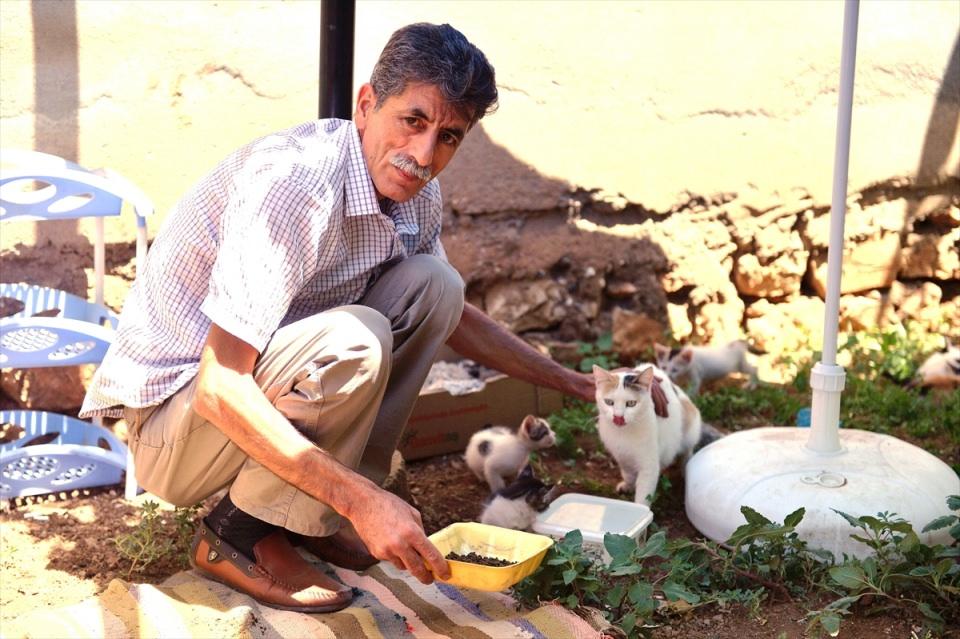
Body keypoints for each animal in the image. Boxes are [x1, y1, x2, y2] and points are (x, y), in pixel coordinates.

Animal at [588, 364, 700, 504]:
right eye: (609, 402)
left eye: (631, 403)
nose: (618, 417)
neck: (623, 434)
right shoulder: (622, 457)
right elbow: (628, 474)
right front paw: (628, 486)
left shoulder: (649, 466)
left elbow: (644, 495)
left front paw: (641, 508)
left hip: (690, 430)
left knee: (687, 451)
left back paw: (685, 468)